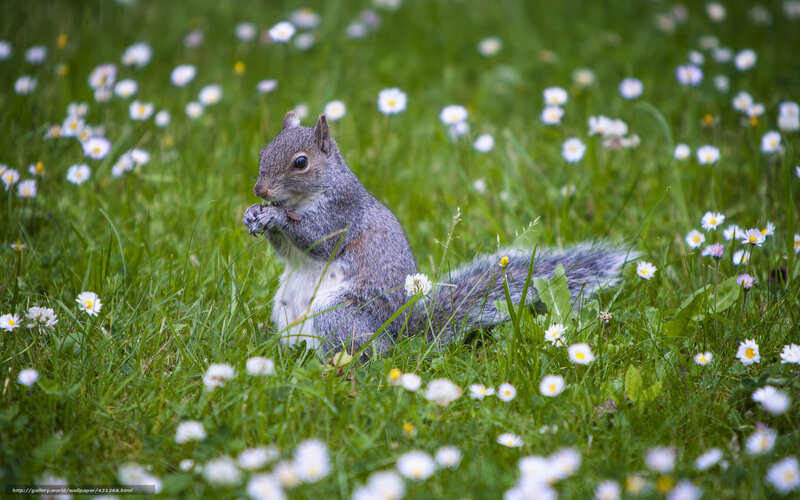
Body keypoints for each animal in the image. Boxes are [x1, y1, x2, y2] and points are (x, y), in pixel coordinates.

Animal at [243, 111, 634, 357]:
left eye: (301, 162)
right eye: (262, 150)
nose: (260, 190)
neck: (303, 198)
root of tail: (398, 338)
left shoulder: (341, 213)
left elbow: (317, 237)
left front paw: (275, 216)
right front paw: (252, 215)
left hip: (336, 316)